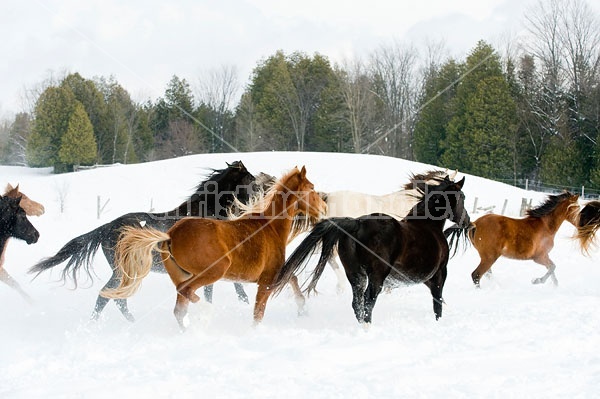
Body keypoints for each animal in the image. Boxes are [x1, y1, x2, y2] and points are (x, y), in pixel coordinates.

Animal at [103, 166, 328, 332]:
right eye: (312, 188)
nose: (324, 208)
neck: (270, 226)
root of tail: (170, 235)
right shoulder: (266, 281)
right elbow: (258, 313)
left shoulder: (273, 275)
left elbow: (292, 279)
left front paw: (303, 308)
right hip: (213, 271)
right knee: (186, 292)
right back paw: (207, 313)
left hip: (184, 275)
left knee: (179, 309)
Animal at [446, 191, 580, 288]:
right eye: (576, 208)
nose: (581, 223)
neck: (546, 226)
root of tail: (475, 223)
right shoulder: (539, 257)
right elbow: (552, 267)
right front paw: (536, 281)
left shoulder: (544, 256)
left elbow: (552, 270)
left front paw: (555, 286)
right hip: (490, 257)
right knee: (476, 275)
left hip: (487, 257)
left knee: (486, 274)